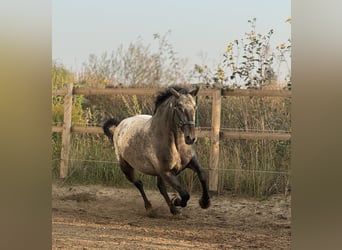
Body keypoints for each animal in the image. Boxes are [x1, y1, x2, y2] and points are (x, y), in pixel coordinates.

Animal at [103, 85, 211, 214]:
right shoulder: (166, 173)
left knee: (160, 188)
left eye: (194, 106)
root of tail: (120, 125)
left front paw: (205, 202)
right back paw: (150, 207)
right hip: (125, 167)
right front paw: (177, 201)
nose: (191, 138)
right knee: (139, 183)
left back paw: (173, 209)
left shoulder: (191, 162)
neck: (176, 145)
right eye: (179, 107)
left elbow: (203, 175)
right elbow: (184, 194)